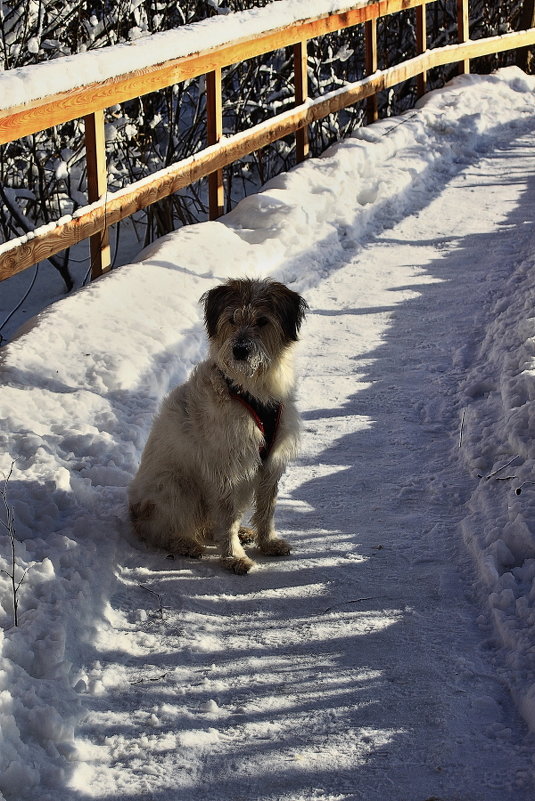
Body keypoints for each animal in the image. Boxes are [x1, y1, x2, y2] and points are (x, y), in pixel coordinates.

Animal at [127, 278, 308, 572]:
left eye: (262, 321)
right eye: (232, 319)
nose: (240, 350)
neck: (251, 389)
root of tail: (134, 511)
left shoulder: (270, 463)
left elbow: (266, 508)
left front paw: (268, 542)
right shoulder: (226, 467)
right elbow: (227, 517)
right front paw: (234, 557)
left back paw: (243, 533)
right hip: (177, 488)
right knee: (161, 530)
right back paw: (185, 544)